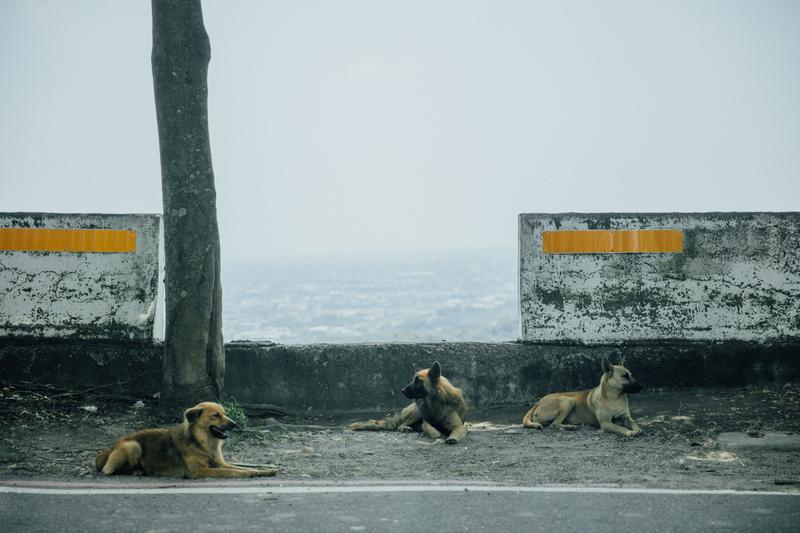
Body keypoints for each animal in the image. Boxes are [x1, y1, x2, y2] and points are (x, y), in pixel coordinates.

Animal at [94, 400, 278, 478]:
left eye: (224, 413)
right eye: (216, 415)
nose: (235, 424)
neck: (202, 442)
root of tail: (109, 448)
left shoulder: (219, 463)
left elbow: (238, 467)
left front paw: (263, 471)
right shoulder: (200, 471)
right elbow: (232, 471)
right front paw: (248, 473)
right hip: (132, 446)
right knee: (109, 471)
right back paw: (138, 470)